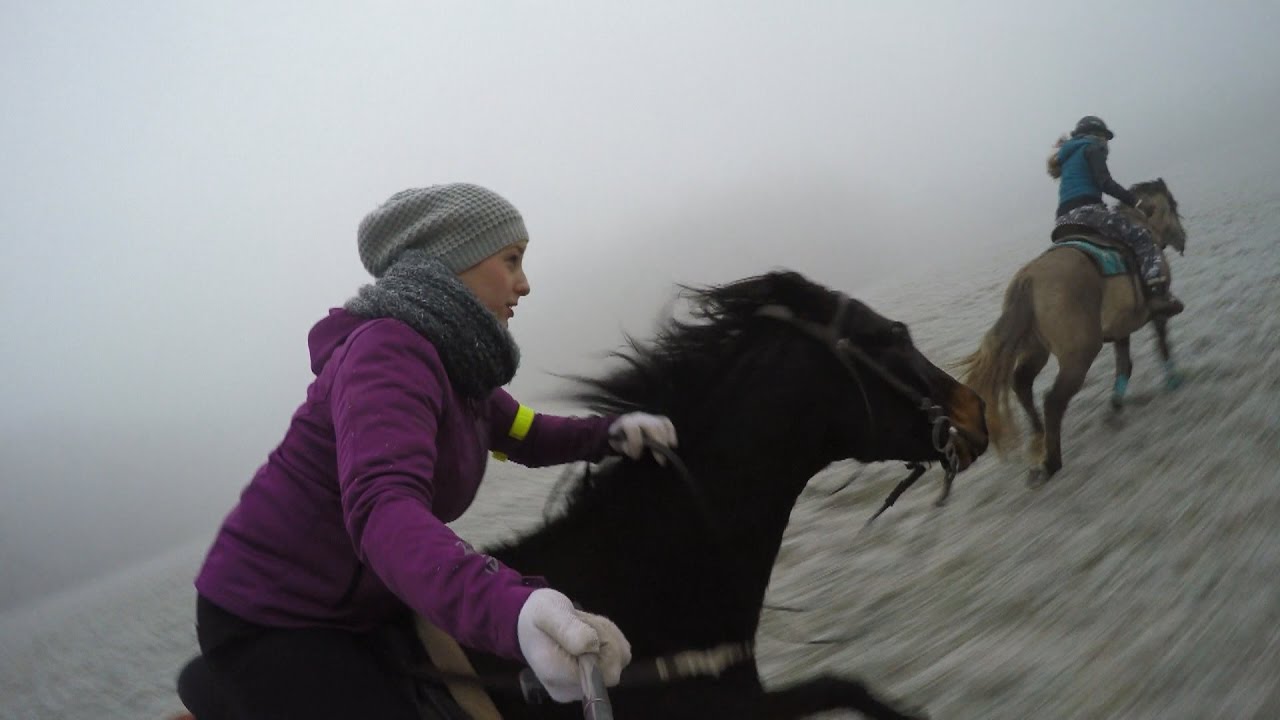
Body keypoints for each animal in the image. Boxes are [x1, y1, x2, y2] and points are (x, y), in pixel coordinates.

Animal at [957, 179, 1188, 486]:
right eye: (1173, 206)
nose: (1183, 239)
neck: (1141, 223)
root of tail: (1029, 279)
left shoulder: (1122, 326)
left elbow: (1125, 364)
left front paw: (1116, 407)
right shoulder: (1154, 313)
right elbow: (1161, 344)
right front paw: (1173, 379)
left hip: (1036, 348)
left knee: (1022, 383)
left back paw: (1039, 436)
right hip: (1079, 354)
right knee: (1053, 400)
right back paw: (1050, 463)